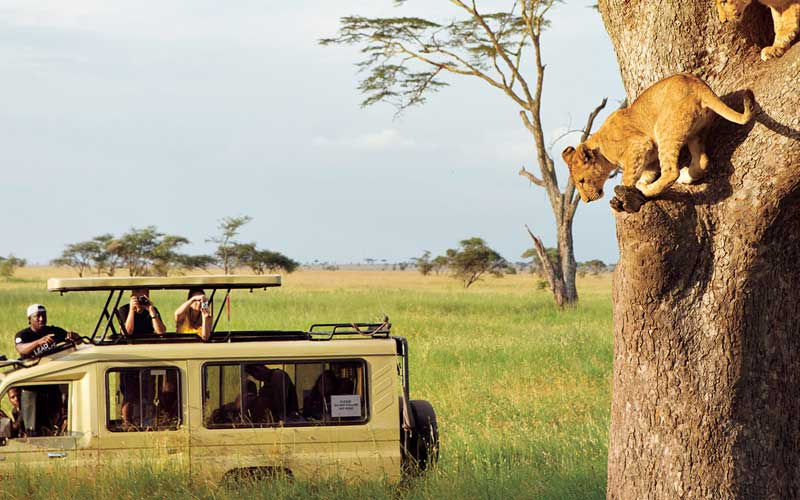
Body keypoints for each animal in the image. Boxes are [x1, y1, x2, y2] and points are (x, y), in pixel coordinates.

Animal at [561, 74, 753, 212]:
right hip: (696, 134)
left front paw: (626, 195)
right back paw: (685, 176)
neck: (601, 149)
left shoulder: (639, 144)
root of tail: (696, 83)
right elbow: (644, 174)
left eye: (582, 181)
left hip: (664, 130)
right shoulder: (649, 158)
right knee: (703, 161)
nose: (586, 200)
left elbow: (628, 178)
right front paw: (640, 185)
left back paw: (651, 190)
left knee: (671, 172)